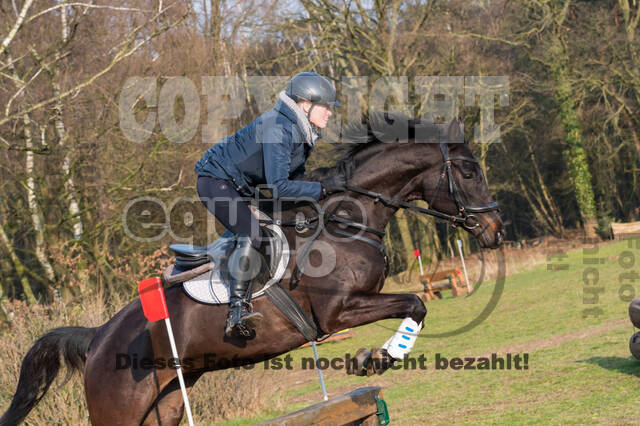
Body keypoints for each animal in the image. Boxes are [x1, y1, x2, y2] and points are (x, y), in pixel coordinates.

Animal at [0, 113, 502, 426]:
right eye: (469, 171)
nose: (495, 230)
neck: (346, 221)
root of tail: (99, 334)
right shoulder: (337, 312)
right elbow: (415, 302)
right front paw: (374, 359)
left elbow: (416, 305)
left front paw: (375, 357)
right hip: (119, 408)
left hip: (167, 401)